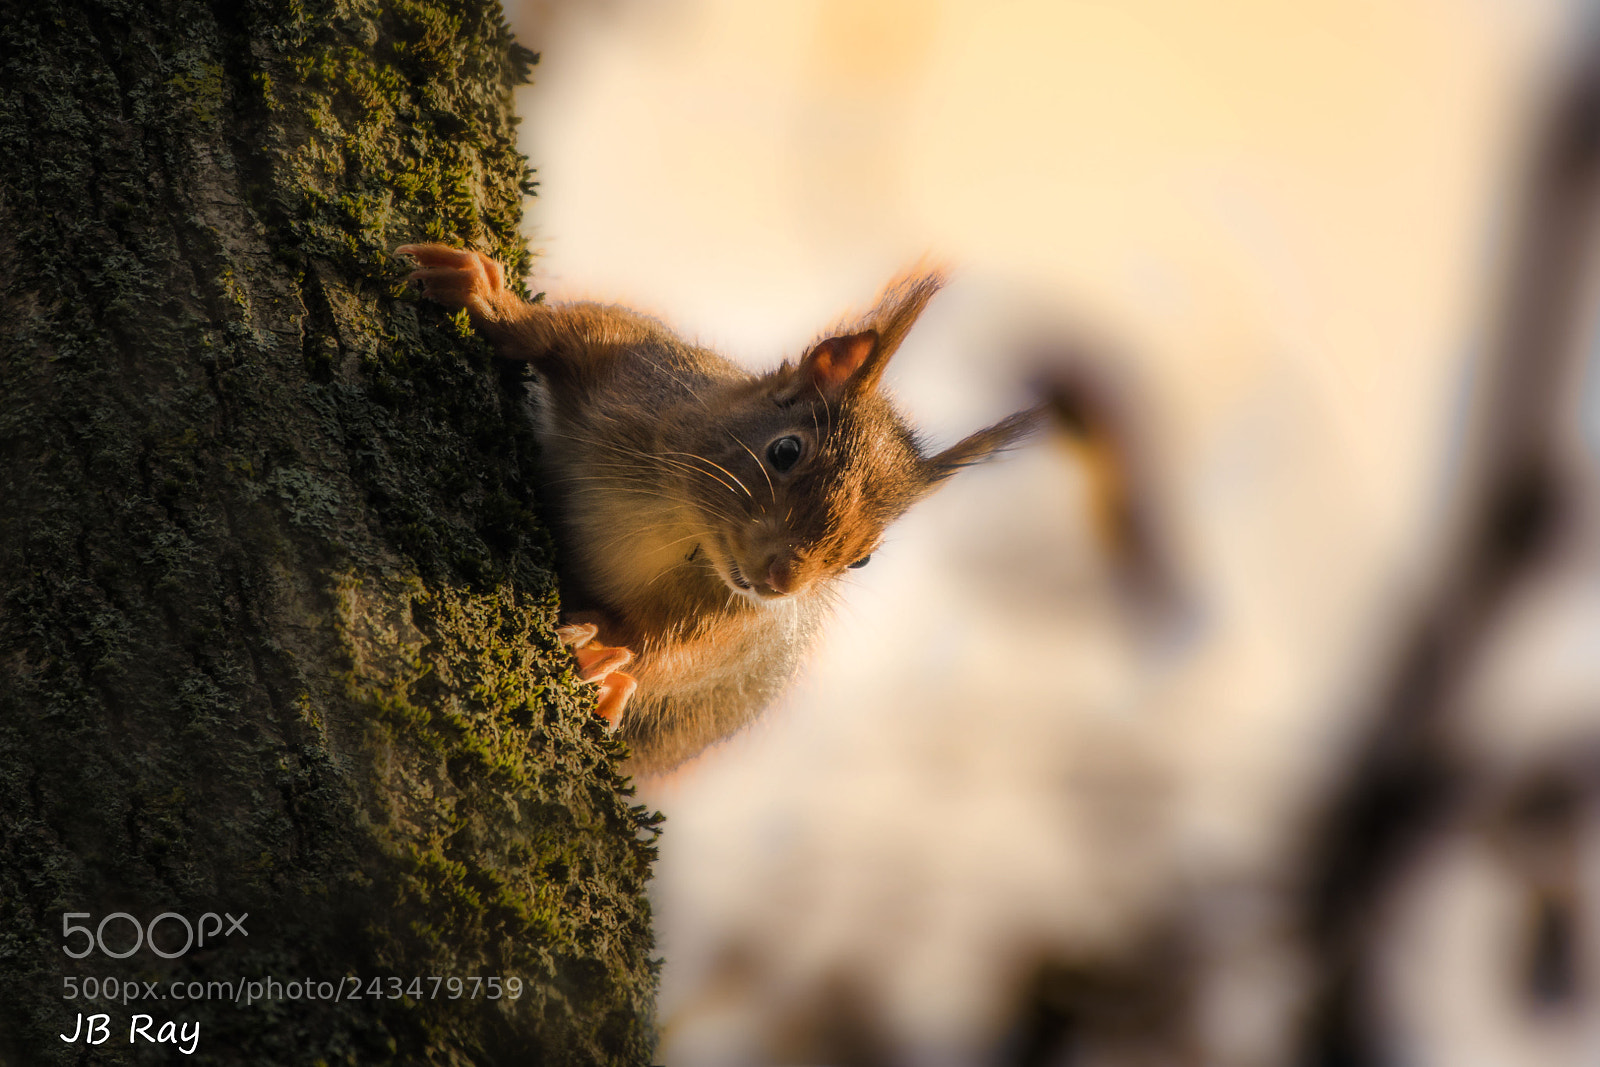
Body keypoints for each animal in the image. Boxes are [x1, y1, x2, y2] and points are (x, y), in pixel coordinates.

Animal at [398, 244, 1043, 775]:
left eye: (862, 559)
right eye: (784, 451)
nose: (781, 582)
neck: (677, 520)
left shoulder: (734, 624)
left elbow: (675, 653)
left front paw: (601, 647)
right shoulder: (634, 363)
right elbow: (559, 328)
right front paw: (484, 297)